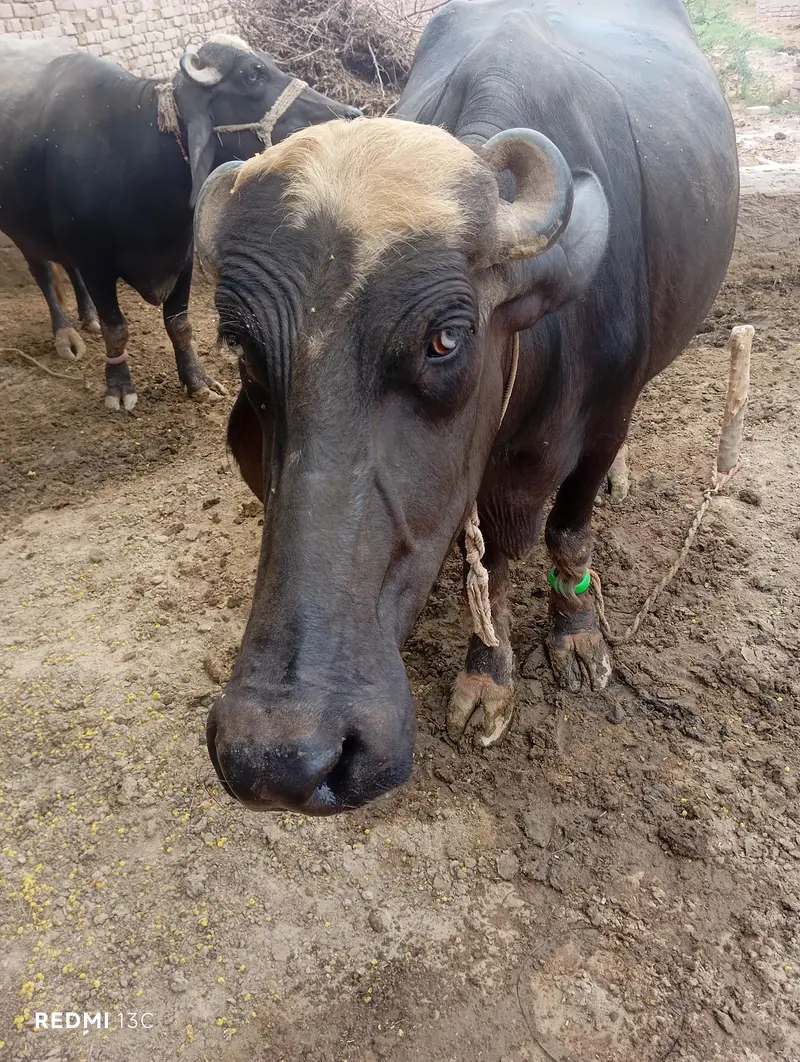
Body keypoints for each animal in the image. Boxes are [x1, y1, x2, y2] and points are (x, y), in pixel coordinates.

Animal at [197, 0, 738, 813]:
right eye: (241, 346)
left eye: (445, 338)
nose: (281, 756)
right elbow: (486, 560)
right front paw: (490, 670)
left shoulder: (605, 418)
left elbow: (560, 530)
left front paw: (575, 633)